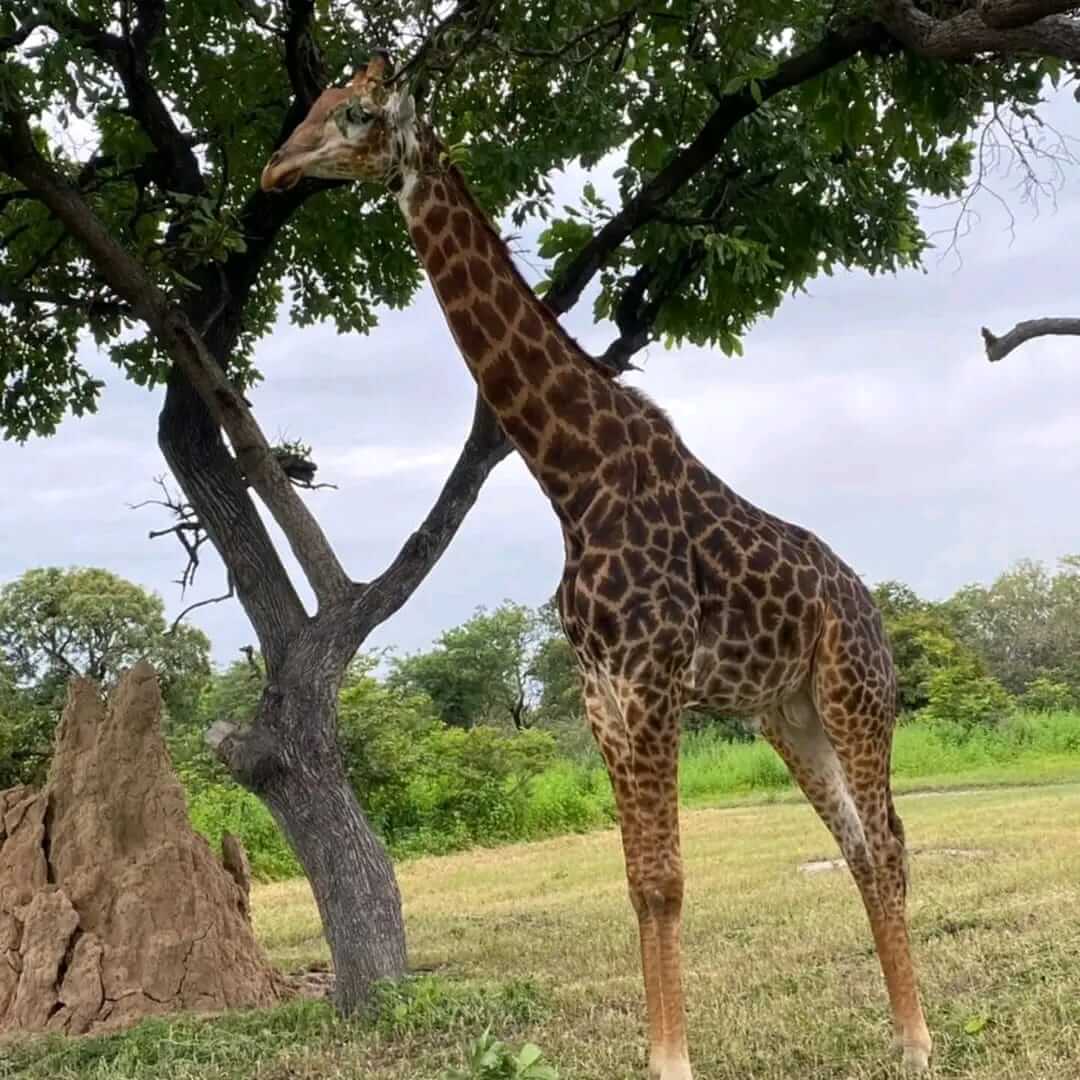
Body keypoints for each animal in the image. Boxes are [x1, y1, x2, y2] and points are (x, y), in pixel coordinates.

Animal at [261, 54, 933, 1079]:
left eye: (358, 115)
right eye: (314, 105)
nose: (275, 170)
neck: (571, 478)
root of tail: (867, 603)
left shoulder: (651, 681)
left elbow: (666, 881)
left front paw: (674, 1061)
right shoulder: (602, 694)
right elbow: (638, 883)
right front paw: (663, 1055)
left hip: (855, 693)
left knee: (890, 840)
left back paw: (922, 1038)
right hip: (788, 712)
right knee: (862, 843)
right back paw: (898, 1031)